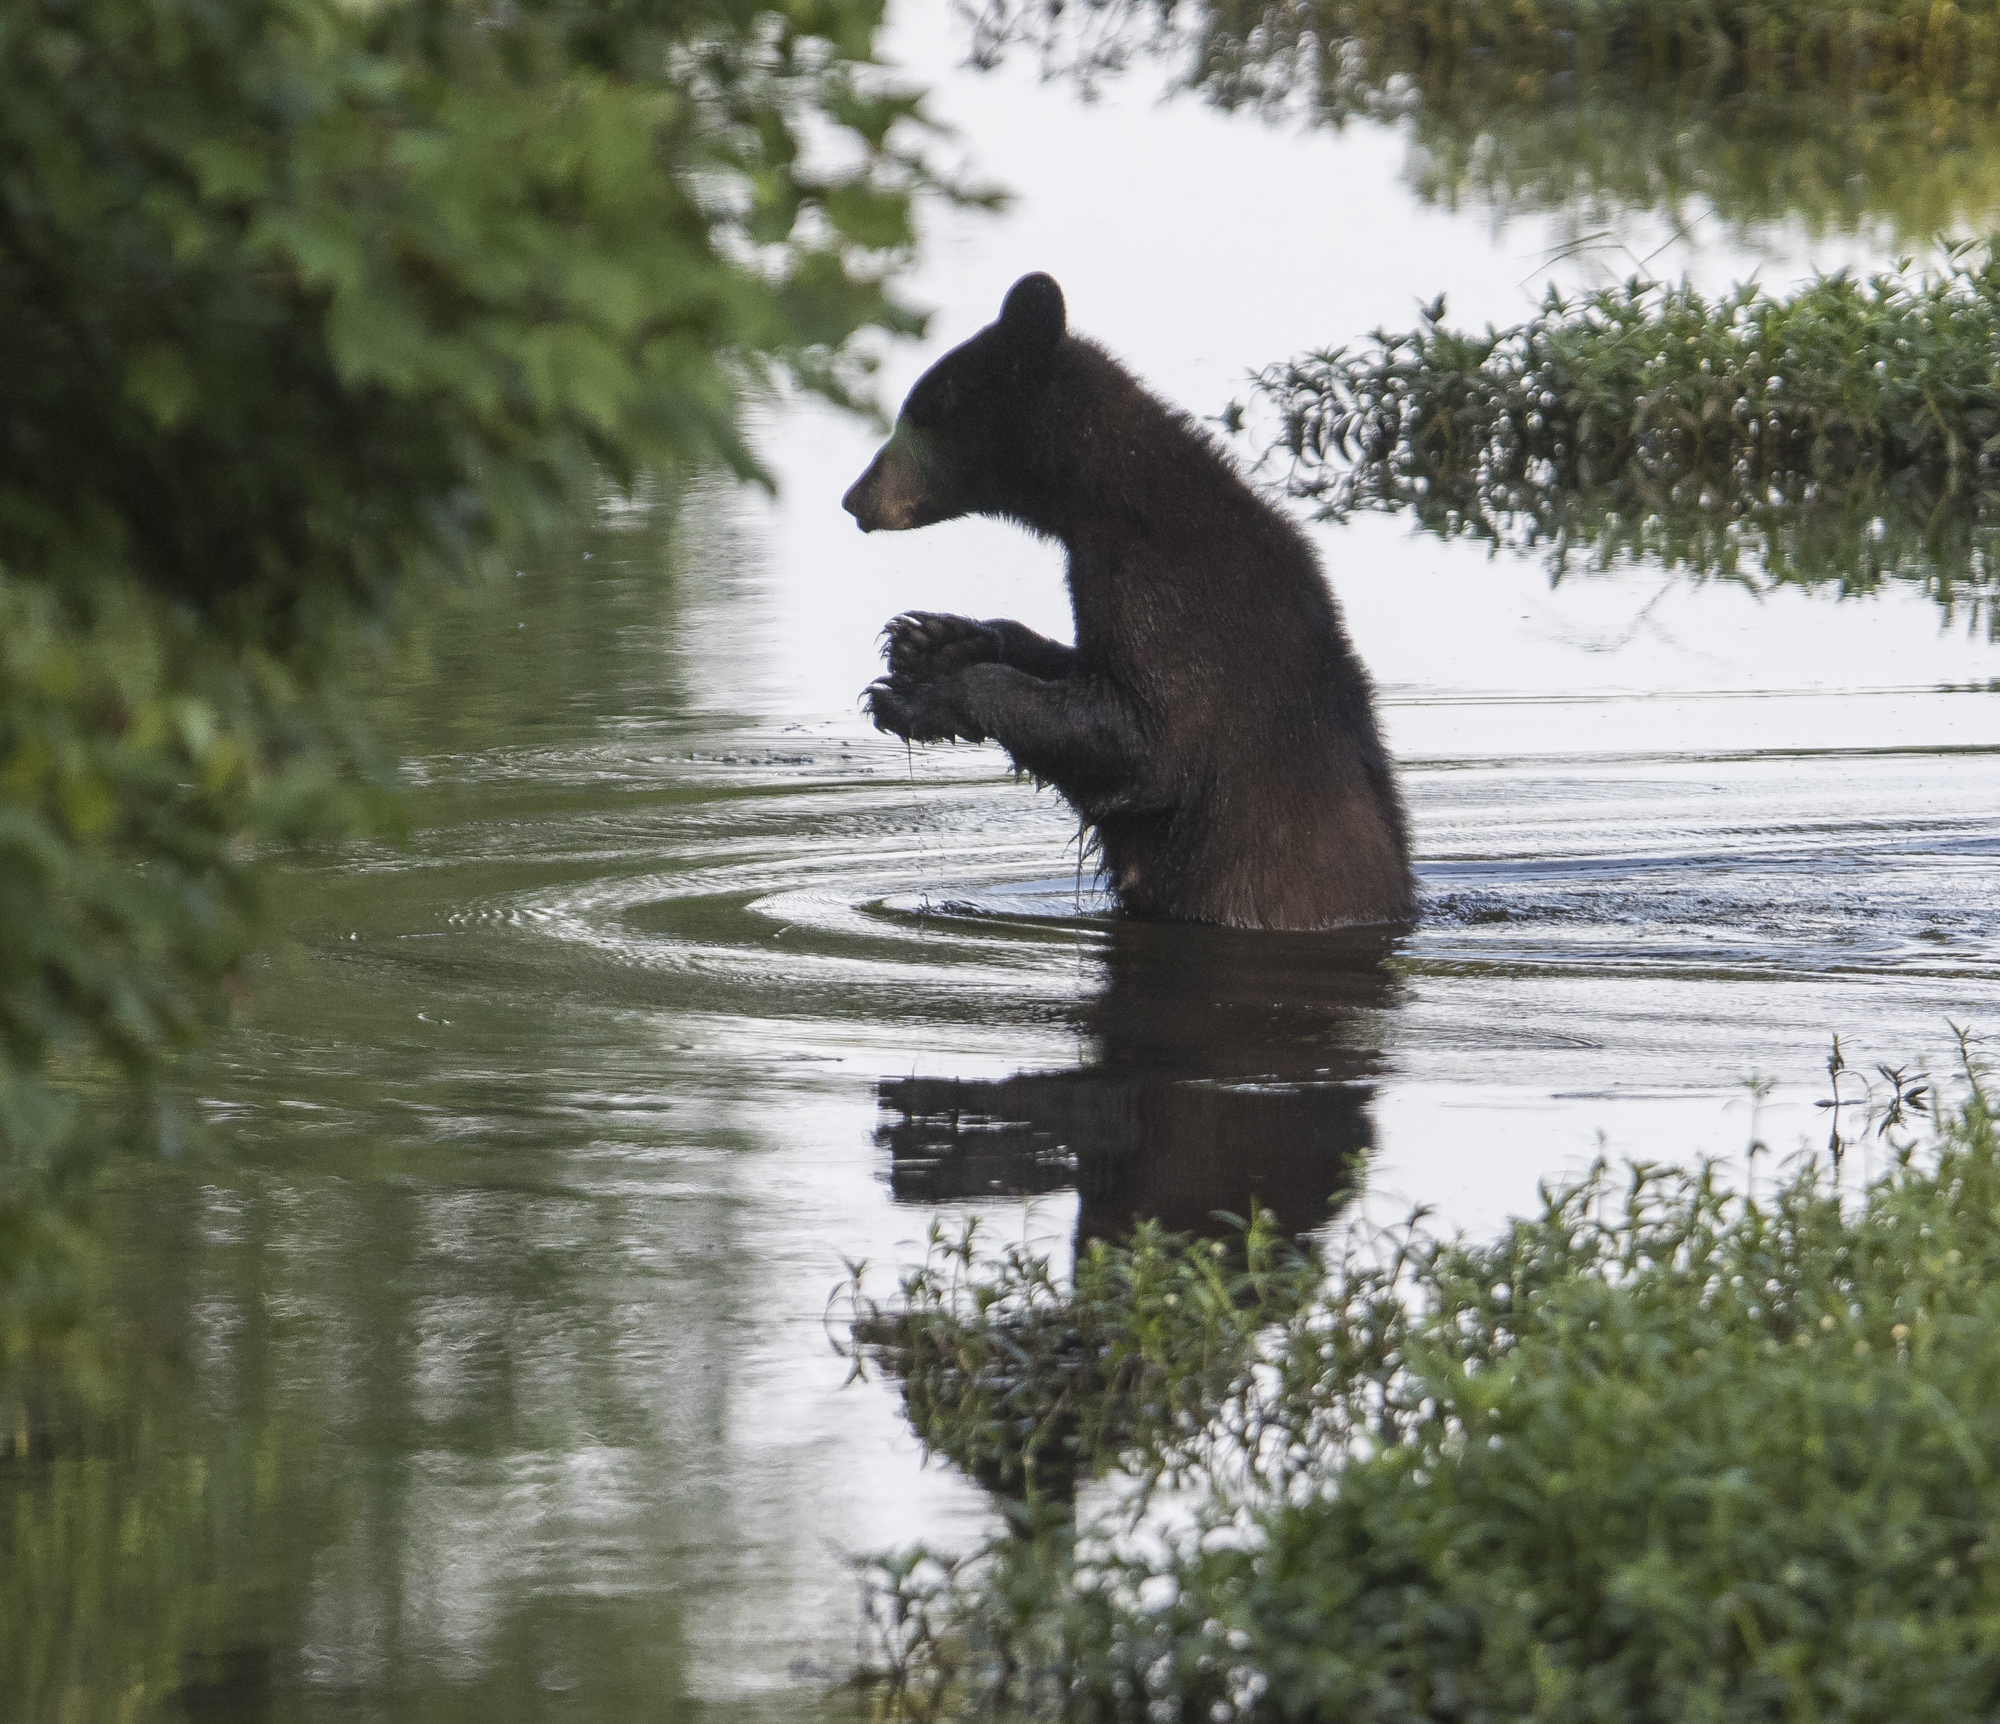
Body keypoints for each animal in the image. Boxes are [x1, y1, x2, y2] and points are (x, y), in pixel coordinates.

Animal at [841, 272, 1413, 931]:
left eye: (920, 410)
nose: (854, 497)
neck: (1113, 507)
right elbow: (1082, 671)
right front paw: (930, 640)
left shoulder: (1180, 603)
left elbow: (1136, 740)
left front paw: (916, 699)